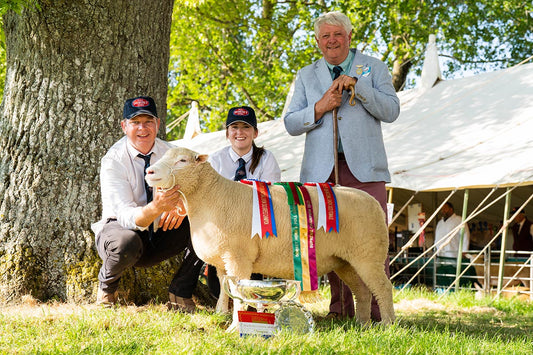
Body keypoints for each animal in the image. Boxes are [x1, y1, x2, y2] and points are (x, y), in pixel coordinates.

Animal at [145, 147, 394, 328]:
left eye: (182, 161)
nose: (149, 172)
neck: (212, 196)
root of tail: (374, 202)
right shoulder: (223, 260)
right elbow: (225, 290)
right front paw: (221, 315)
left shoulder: (238, 257)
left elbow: (238, 293)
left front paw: (236, 324)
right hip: (346, 260)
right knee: (362, 291)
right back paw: (362, 324)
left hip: (368, 254)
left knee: (383, 287)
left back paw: (387, 325)